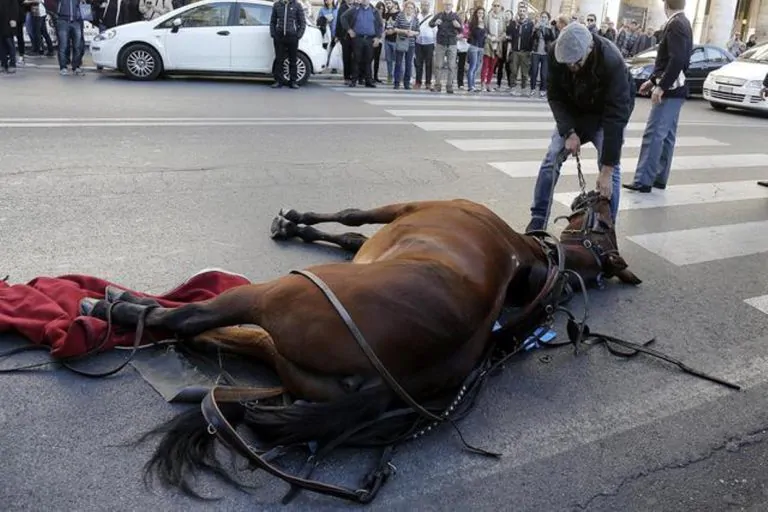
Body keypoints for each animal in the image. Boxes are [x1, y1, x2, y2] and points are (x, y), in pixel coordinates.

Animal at [78, 192, 641, 503]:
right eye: (607, 222)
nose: (597, 194)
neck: (529, 256)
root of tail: (385, 382)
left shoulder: (407, 206)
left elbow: (353, 215)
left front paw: (296, 218)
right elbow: (350, 240)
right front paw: (296, 225)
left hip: (277, 295)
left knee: (191, 317)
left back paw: (116, 306)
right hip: (279, 352)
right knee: (206, 333)